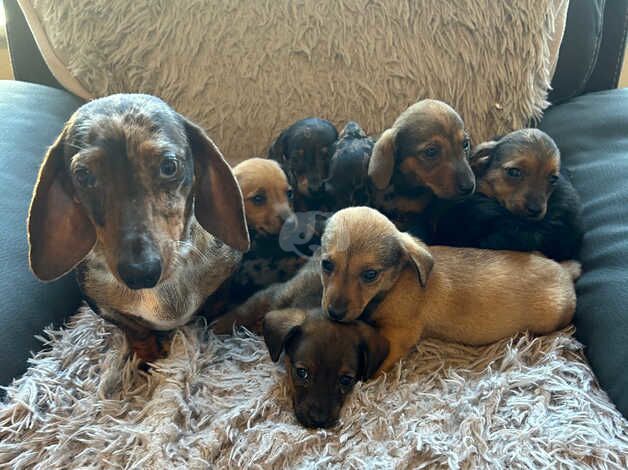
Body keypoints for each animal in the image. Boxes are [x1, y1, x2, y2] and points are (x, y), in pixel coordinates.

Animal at [28, 93, 250, 362]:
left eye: (169, 166)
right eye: (83, 175)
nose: (141, 272)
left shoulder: (224, 281)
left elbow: (212, 309)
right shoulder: (104, 307)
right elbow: (137, 331)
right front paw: (147, 360)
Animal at [322, 207, 580, 372]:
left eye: (370, 275)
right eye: (326, 264)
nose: (334, 313)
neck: (394, 284)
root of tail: (565, 272)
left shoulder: (399, 335)